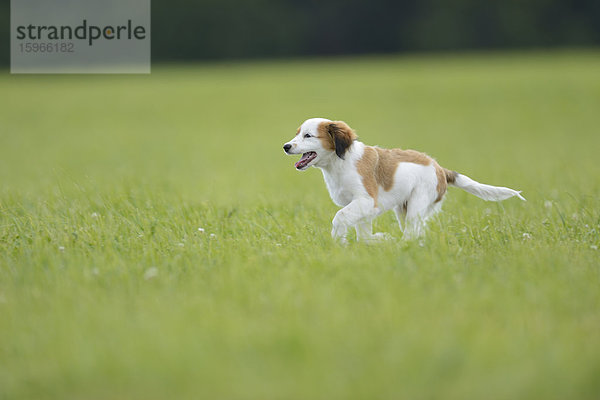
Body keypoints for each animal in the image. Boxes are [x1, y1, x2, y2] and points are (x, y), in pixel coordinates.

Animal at [284, 118, 524, 244]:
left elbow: (340, 217)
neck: (340, 161)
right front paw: (376, 241)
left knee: (412, 233)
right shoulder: (362, 209)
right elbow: (363, 234)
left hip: (417, 204)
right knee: (417, 232)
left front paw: (338, 241)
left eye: (308, 136)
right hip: (403, 208)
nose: (286, 146)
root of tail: (440, 169)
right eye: (297, 134)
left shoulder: (366, 201)